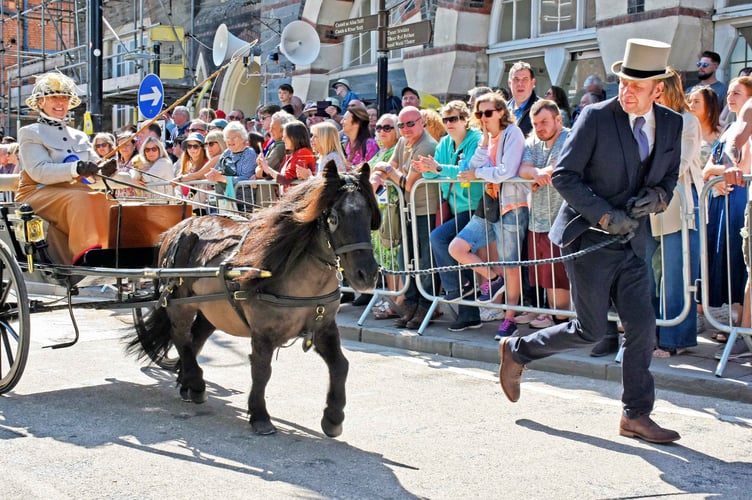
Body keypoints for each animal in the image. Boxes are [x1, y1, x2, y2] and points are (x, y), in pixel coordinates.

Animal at [127, 162, 381, 436]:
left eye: (370, 215)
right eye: (333, 218)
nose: (367, 275)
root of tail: (178, 228)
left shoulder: (324, 326)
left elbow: (340, 365)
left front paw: (333, 418)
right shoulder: (263, 332)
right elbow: (261, 370)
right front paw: (260, 415)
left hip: (211, 308)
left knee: (195, 338)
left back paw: (188, 383)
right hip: (180, 304)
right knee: (181, 337)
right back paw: (196, 383)